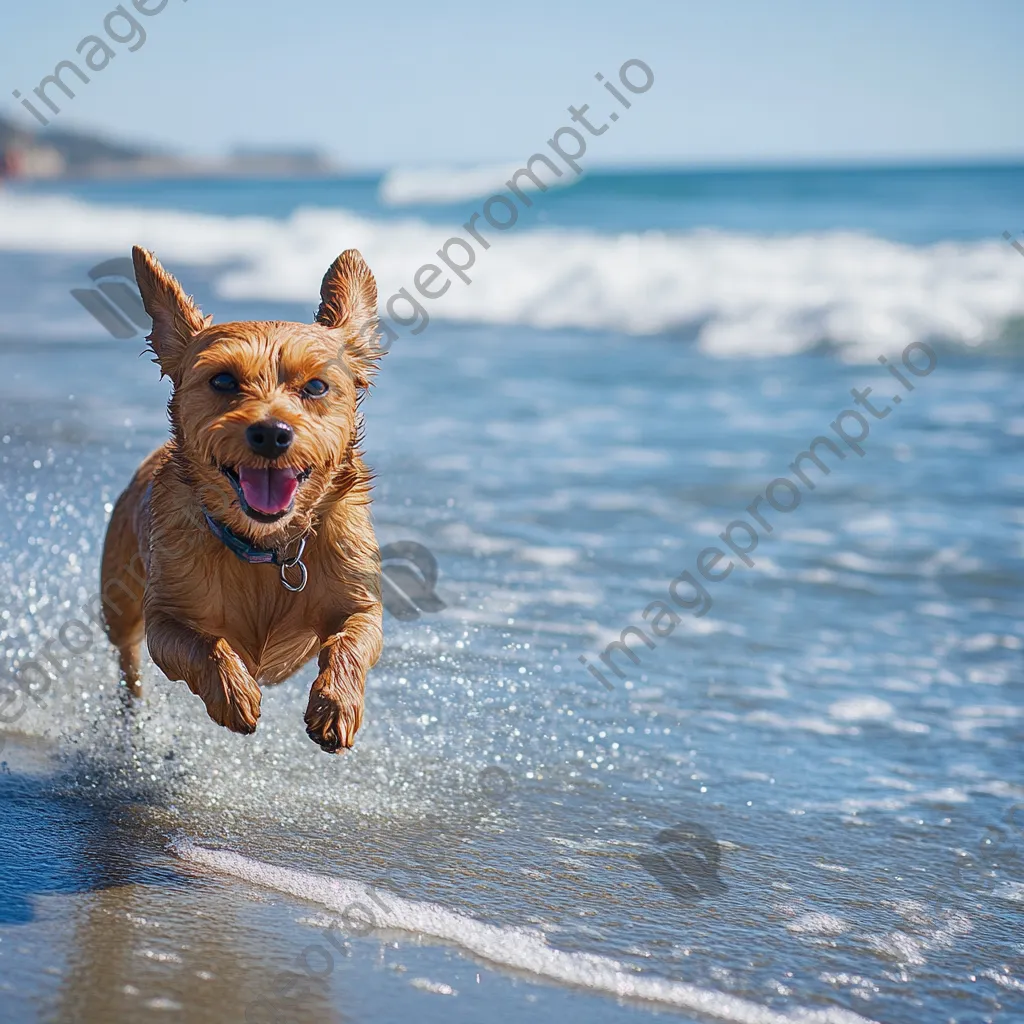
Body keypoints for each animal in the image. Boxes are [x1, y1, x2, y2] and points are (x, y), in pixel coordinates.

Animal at [100, 242, 385, 749]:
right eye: (223, 381)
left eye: (316, 385)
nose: (271, 432)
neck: (267, 548)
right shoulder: (165, 618)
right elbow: (200, 644)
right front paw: (233, 692)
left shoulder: (362, 602)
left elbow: (353, 638)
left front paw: (335, 704)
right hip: (118, 602)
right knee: (128, 659)